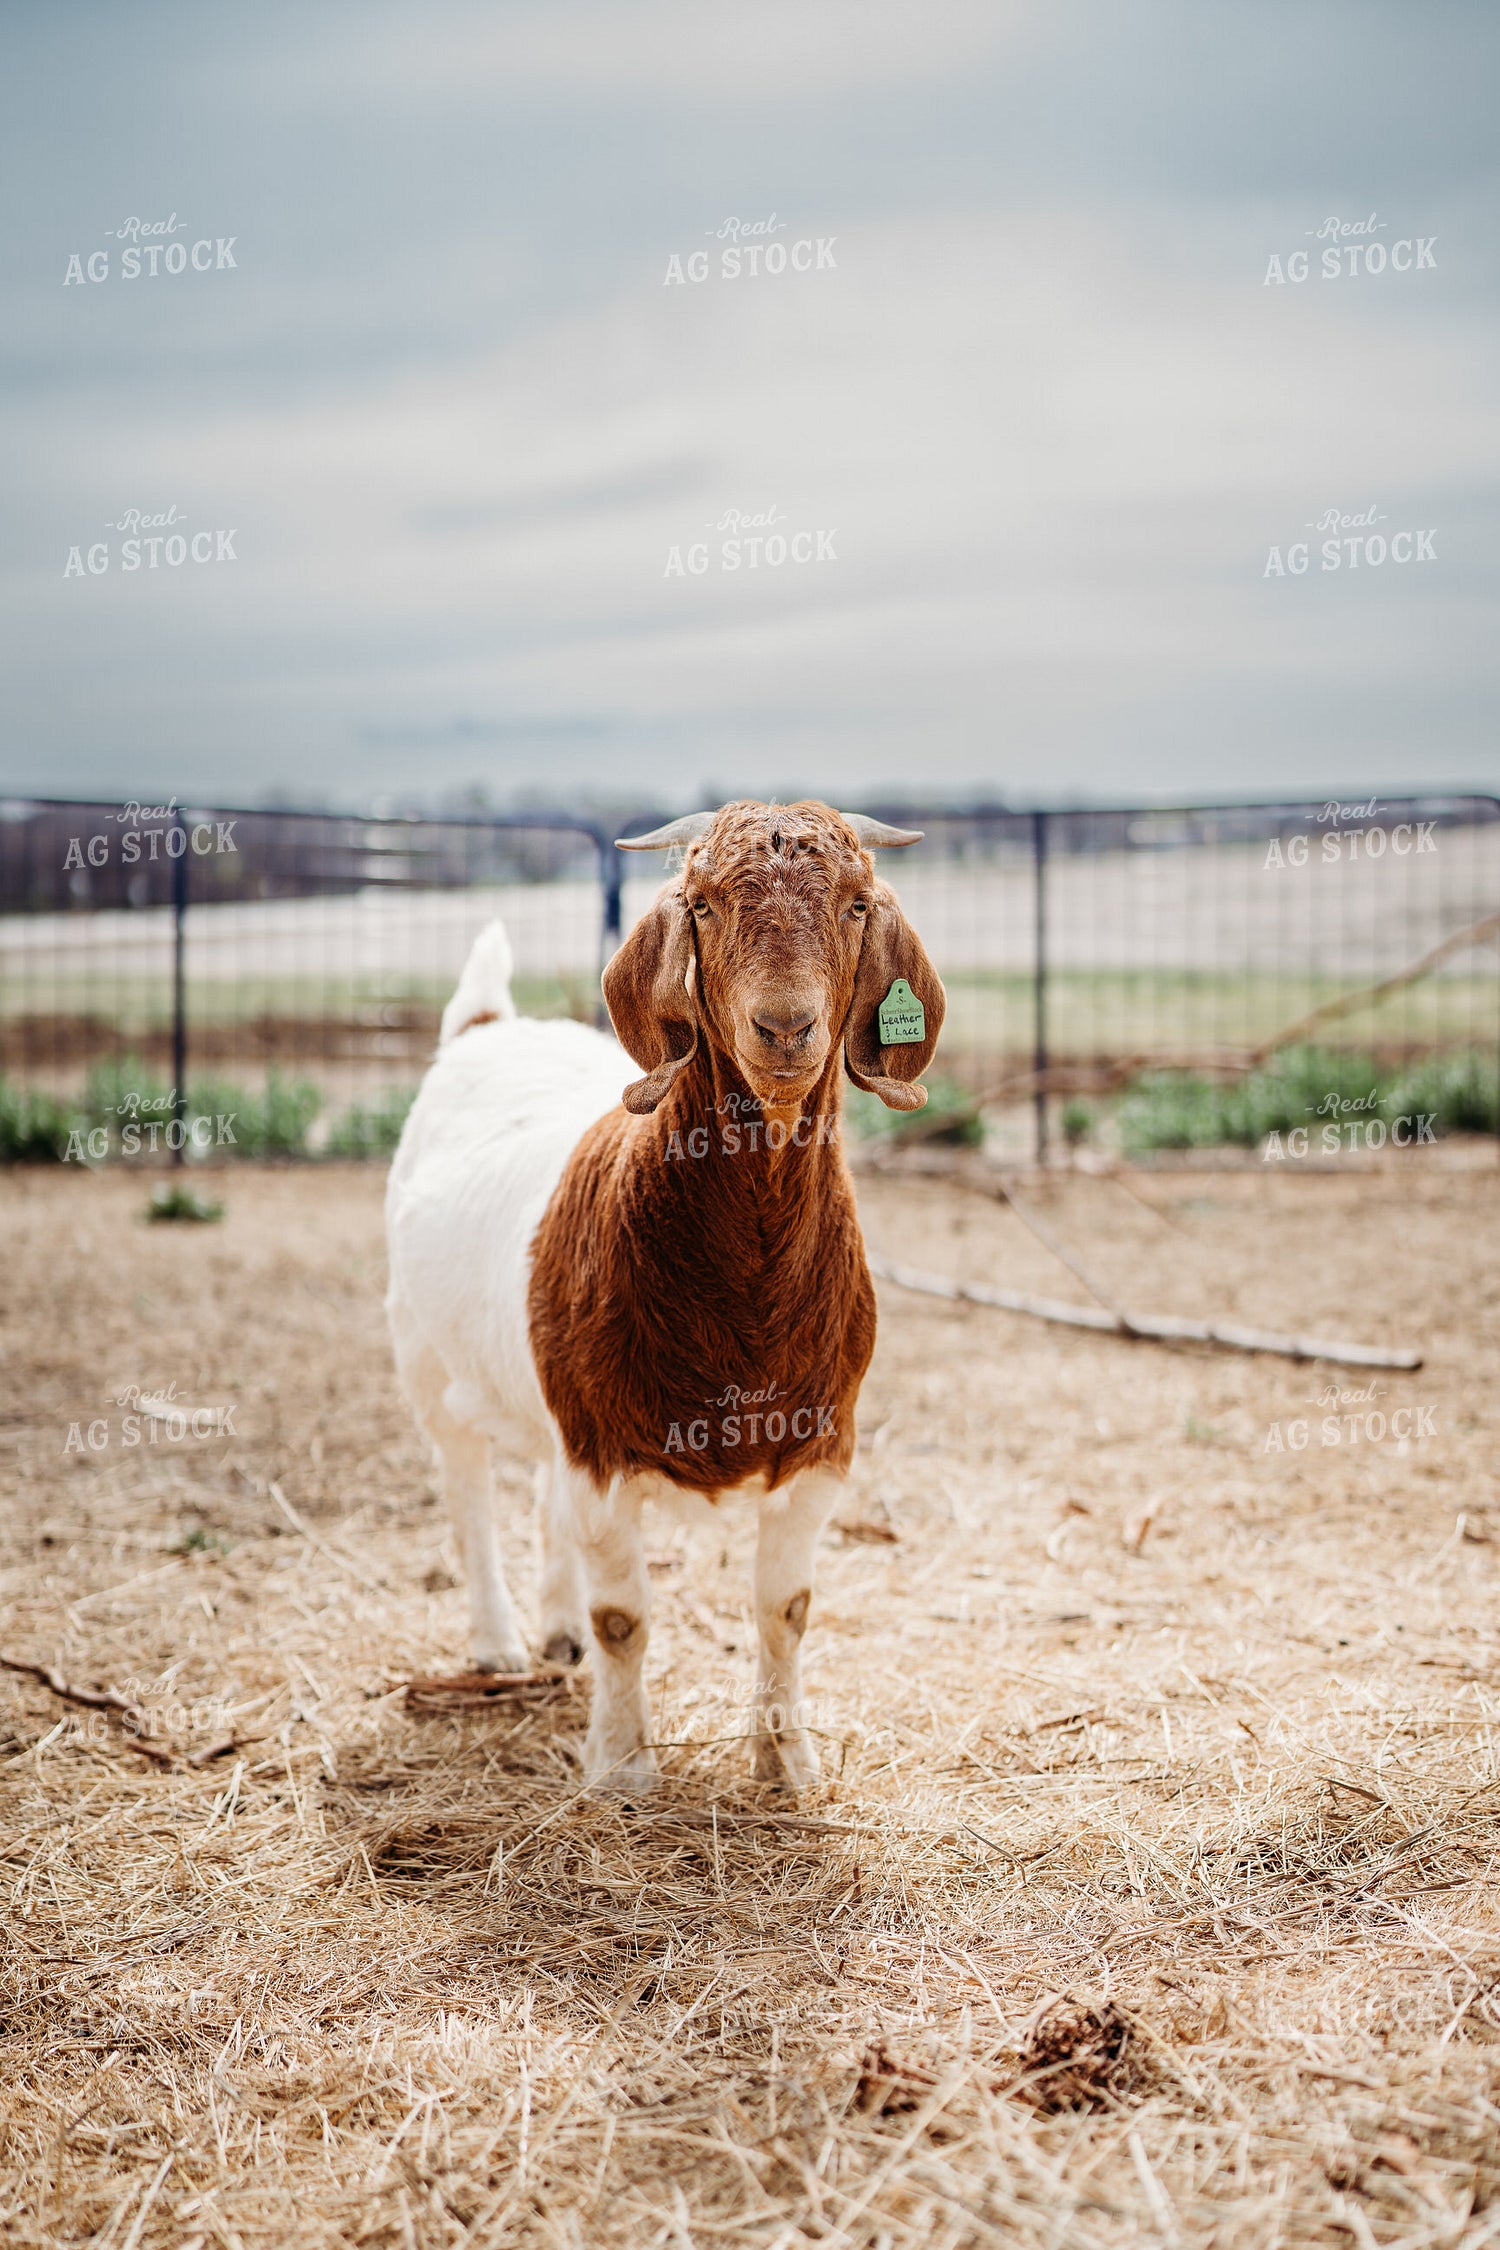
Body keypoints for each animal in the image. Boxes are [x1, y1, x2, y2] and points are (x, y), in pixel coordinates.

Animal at [385, 800, 945, 1791]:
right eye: (705, 905)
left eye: (854, 904)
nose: (784, 1028)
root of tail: (487, 1027)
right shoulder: (603, 1450)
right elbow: (625, 1621)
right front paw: (621, 1767)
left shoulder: (820, 1450)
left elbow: (786, 1609)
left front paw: (786, 1761)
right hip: (425, 1361)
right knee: (468, 1493)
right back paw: (498, 1645)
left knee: (541, 1493)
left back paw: (555, 1632)